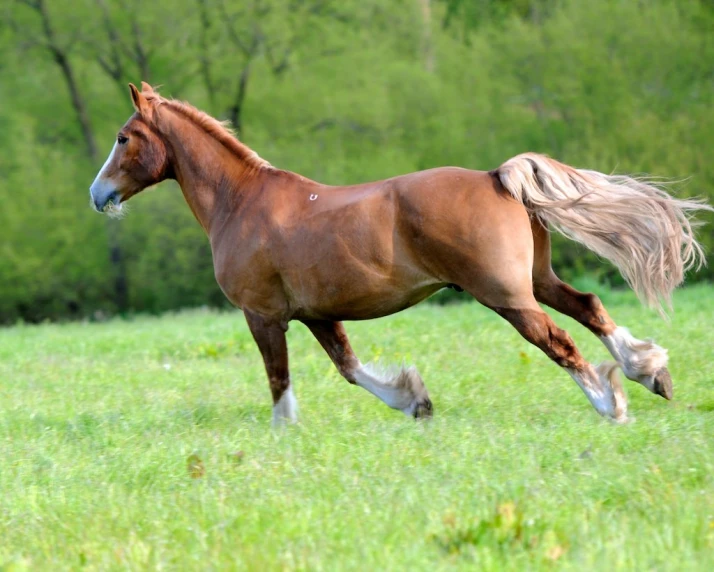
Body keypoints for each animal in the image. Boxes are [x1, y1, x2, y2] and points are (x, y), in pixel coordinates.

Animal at [90, 84, 708, 424]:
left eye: (123, 137)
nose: (98, 195)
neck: (241, 203)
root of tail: (497, 177)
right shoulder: (316, 314)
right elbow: (349, 368)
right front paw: (415, 401)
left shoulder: (262, 315)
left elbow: (279, 380)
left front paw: (284, 432)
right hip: (534, 280)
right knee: (589, 306)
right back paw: (649, 371)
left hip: (505, 295)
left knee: (558, 340)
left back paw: (611, 404)